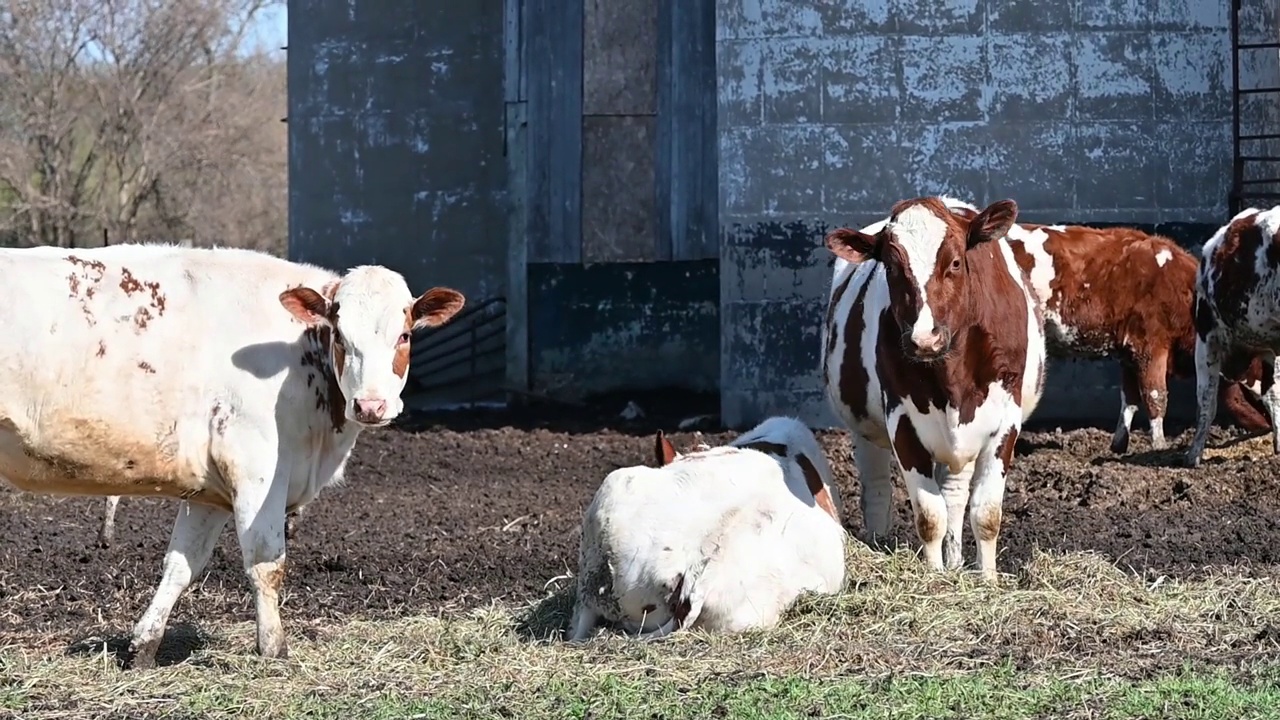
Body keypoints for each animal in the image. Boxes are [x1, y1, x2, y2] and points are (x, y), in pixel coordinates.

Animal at [0, 242, 465, 666]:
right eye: (341, 336)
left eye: (403, 335)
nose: (370, 405)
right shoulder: (256, 467)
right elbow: (266, 562)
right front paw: (273, 650)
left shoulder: (209, 491)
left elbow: (181, 565)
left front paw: (142, 647)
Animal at [824, 196, 1044, 576]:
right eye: (891, 267)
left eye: (955, 262)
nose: (924, 339)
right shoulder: (901, 420)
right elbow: (929, 515)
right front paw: (934, 576)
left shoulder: (1005, 421)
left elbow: (986, 513)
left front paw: (987, 578)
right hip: (864, 427)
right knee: (877, 489)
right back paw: (882, 542)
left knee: (955, 495)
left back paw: (956, 561)